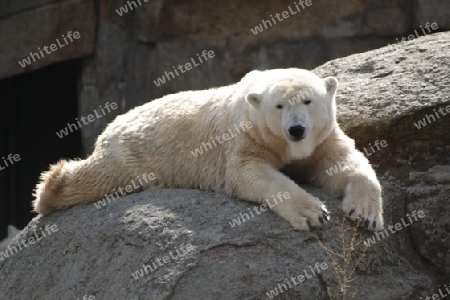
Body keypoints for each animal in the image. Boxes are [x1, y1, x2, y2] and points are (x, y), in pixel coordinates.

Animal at [33, 69, 384, 231]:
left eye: (308, 101)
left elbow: (342, 162)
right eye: (279, 106)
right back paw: (50, 189)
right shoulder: (247, 136)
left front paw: (365, 214)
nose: (296, 130)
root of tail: (112, 123)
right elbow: (249, 173)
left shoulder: (322, 138)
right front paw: (313, 213)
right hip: (131, 155)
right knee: (97, 176)